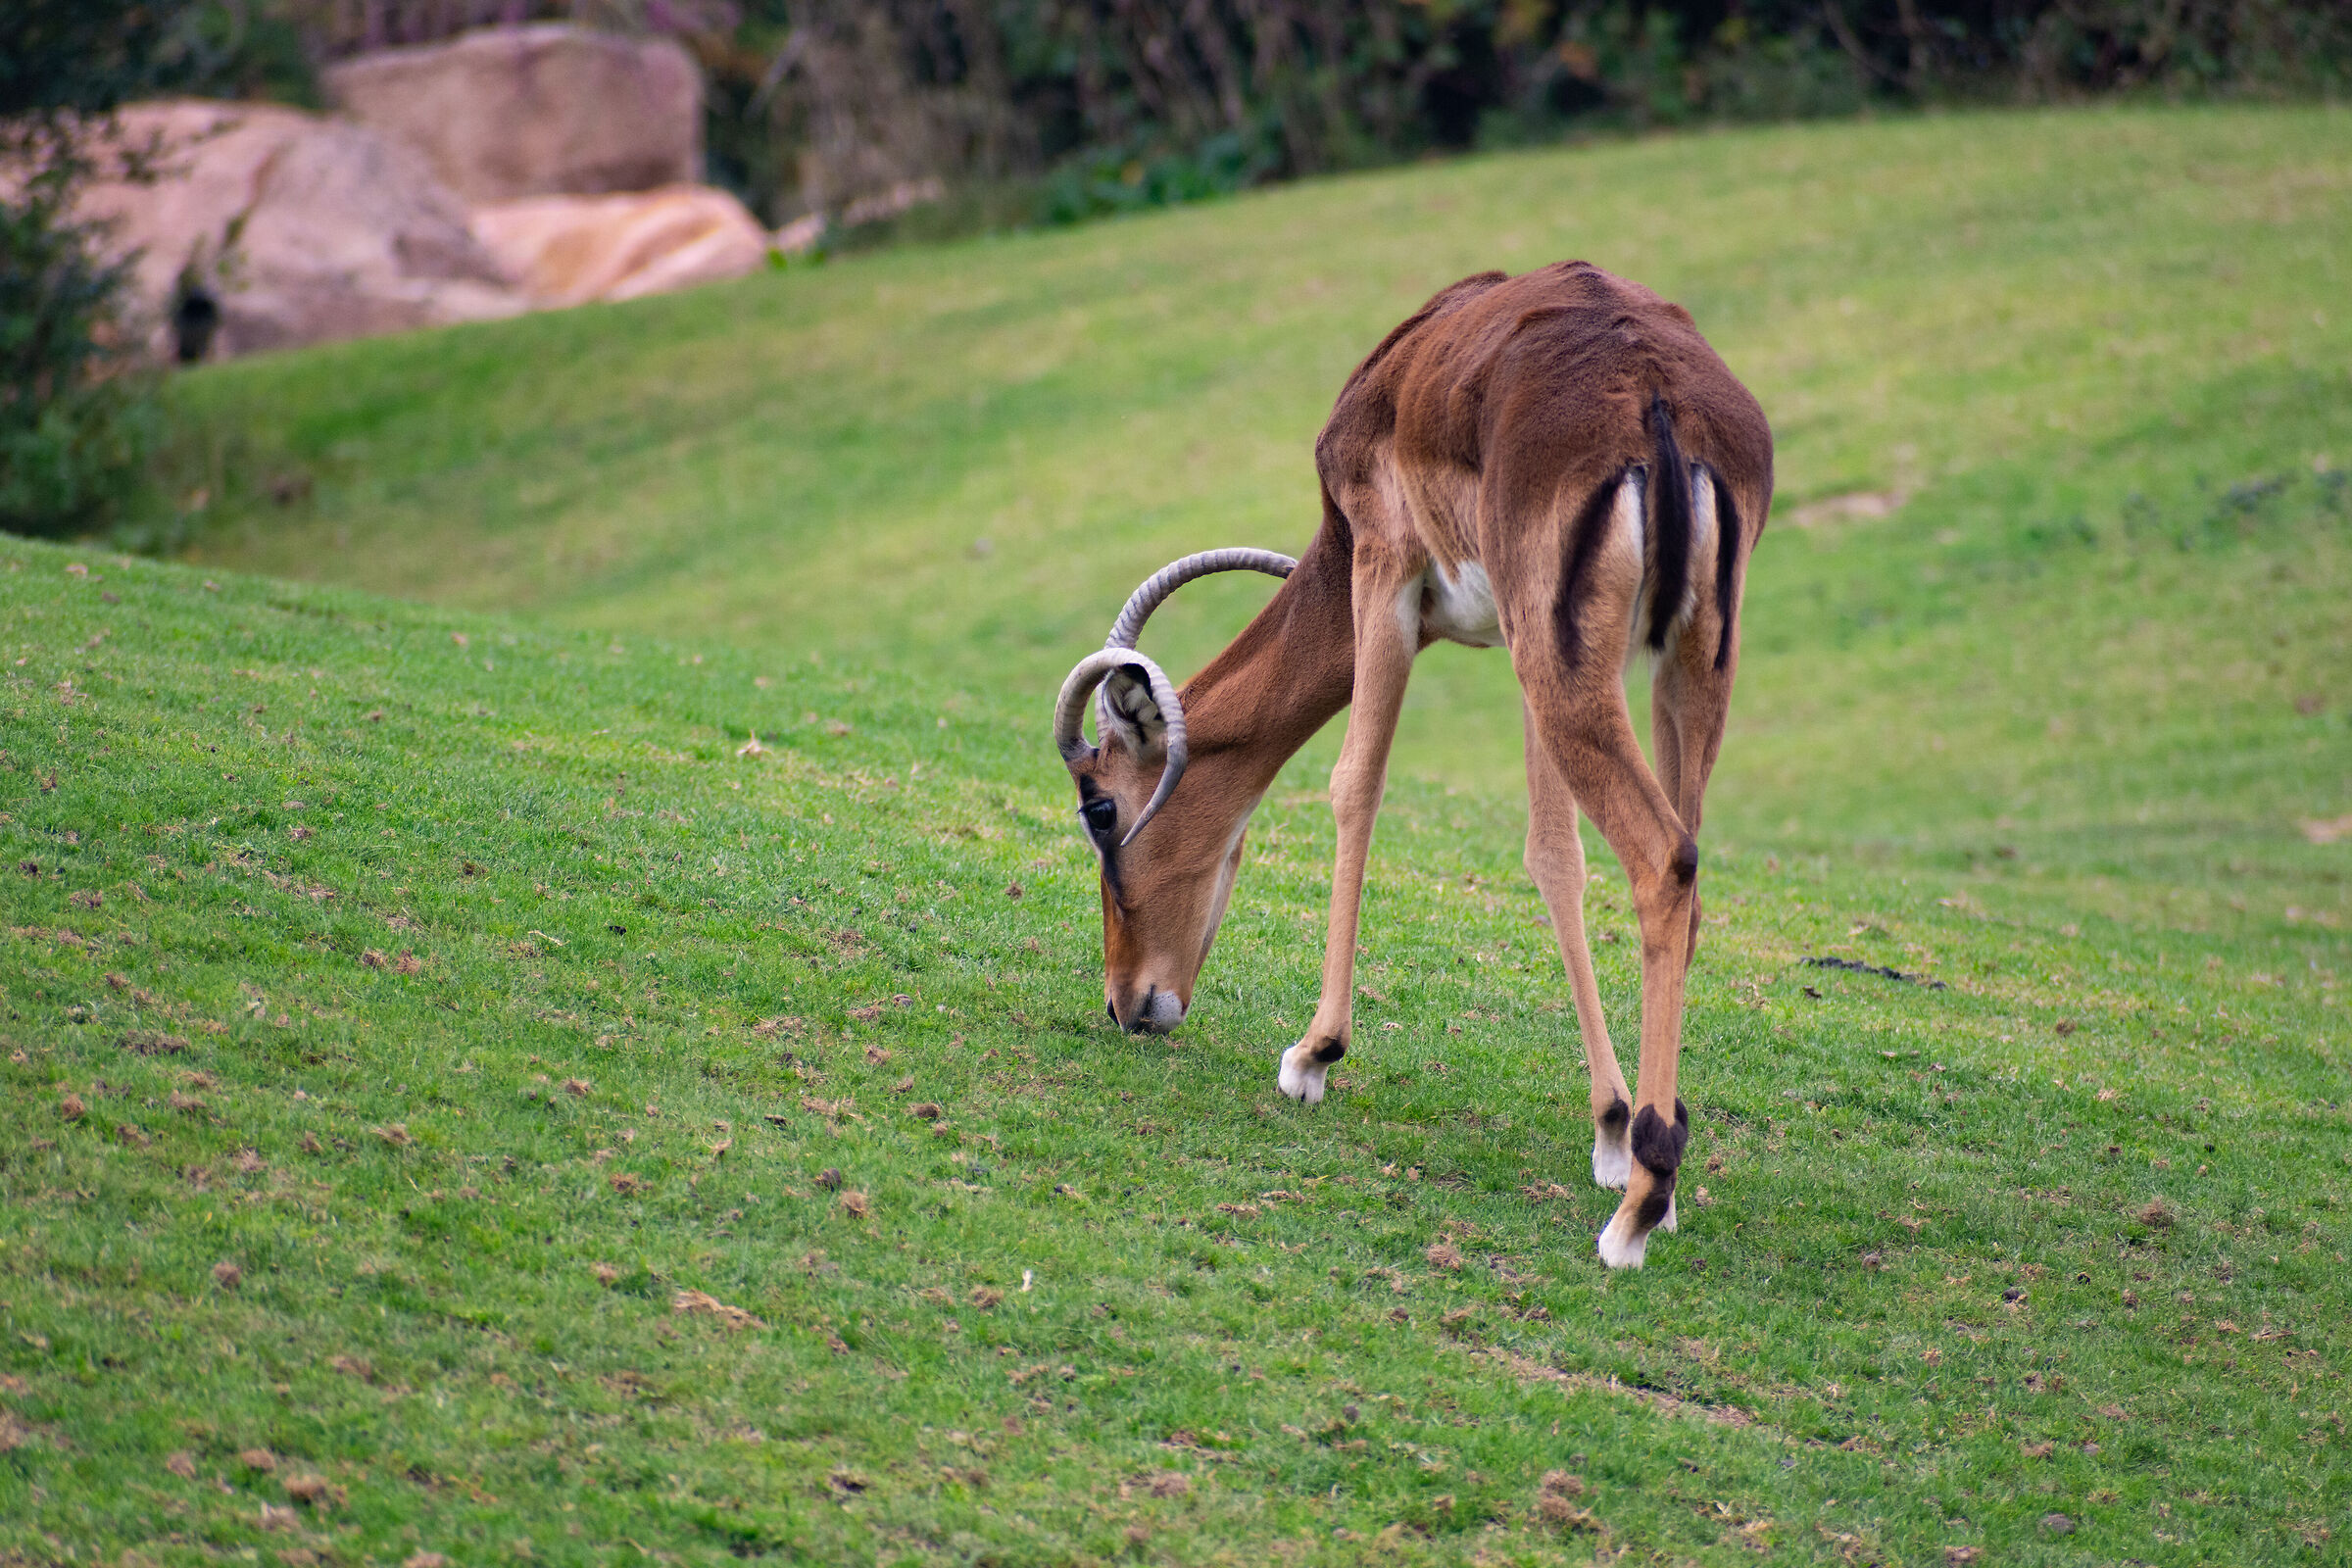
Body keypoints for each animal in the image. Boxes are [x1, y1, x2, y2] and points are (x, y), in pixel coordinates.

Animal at [1053, 261, 1771, 1268]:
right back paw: (1650, 1177)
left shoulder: (1382, 574)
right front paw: (1606, 1126)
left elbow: (1354, 785)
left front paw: (1312, 1056)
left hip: (1574, 675)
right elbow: (1553, 856)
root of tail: (1659, 401)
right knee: (1688, 866)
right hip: (1675, 667)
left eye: (1100, 809)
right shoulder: (1511, 652)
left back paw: (1640, 1205)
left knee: (1664, 860)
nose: (1129, 1005)